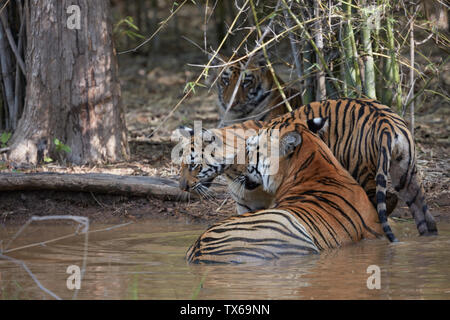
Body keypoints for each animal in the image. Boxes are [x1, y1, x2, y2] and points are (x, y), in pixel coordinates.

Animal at [178, 99, 438, 244]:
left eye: (192, 166)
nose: (182, 187)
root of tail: (386, 122)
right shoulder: (246, 204)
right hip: (407, 174)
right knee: (423, 212)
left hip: (364, 174)